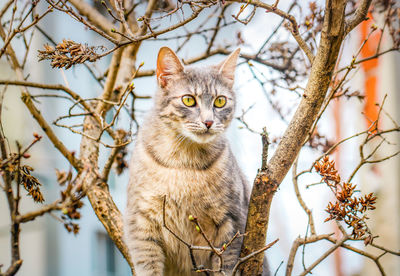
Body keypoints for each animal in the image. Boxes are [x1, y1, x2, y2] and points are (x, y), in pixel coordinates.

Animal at [123, 46, 258, 274]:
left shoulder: (232, 222)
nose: (208, 122)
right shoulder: (141, 223)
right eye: (188, 100)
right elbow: (148, 266)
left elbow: (225, 266)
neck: (184, 162)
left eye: (220, 101)